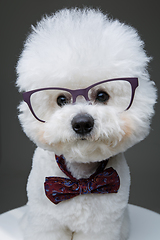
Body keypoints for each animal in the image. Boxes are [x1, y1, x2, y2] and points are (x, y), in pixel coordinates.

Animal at [15, 7, 156, 240]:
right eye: (61, 100)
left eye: (102, 96)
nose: (82, 123)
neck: (81, 178)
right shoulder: (46, 221)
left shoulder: (101, 226)